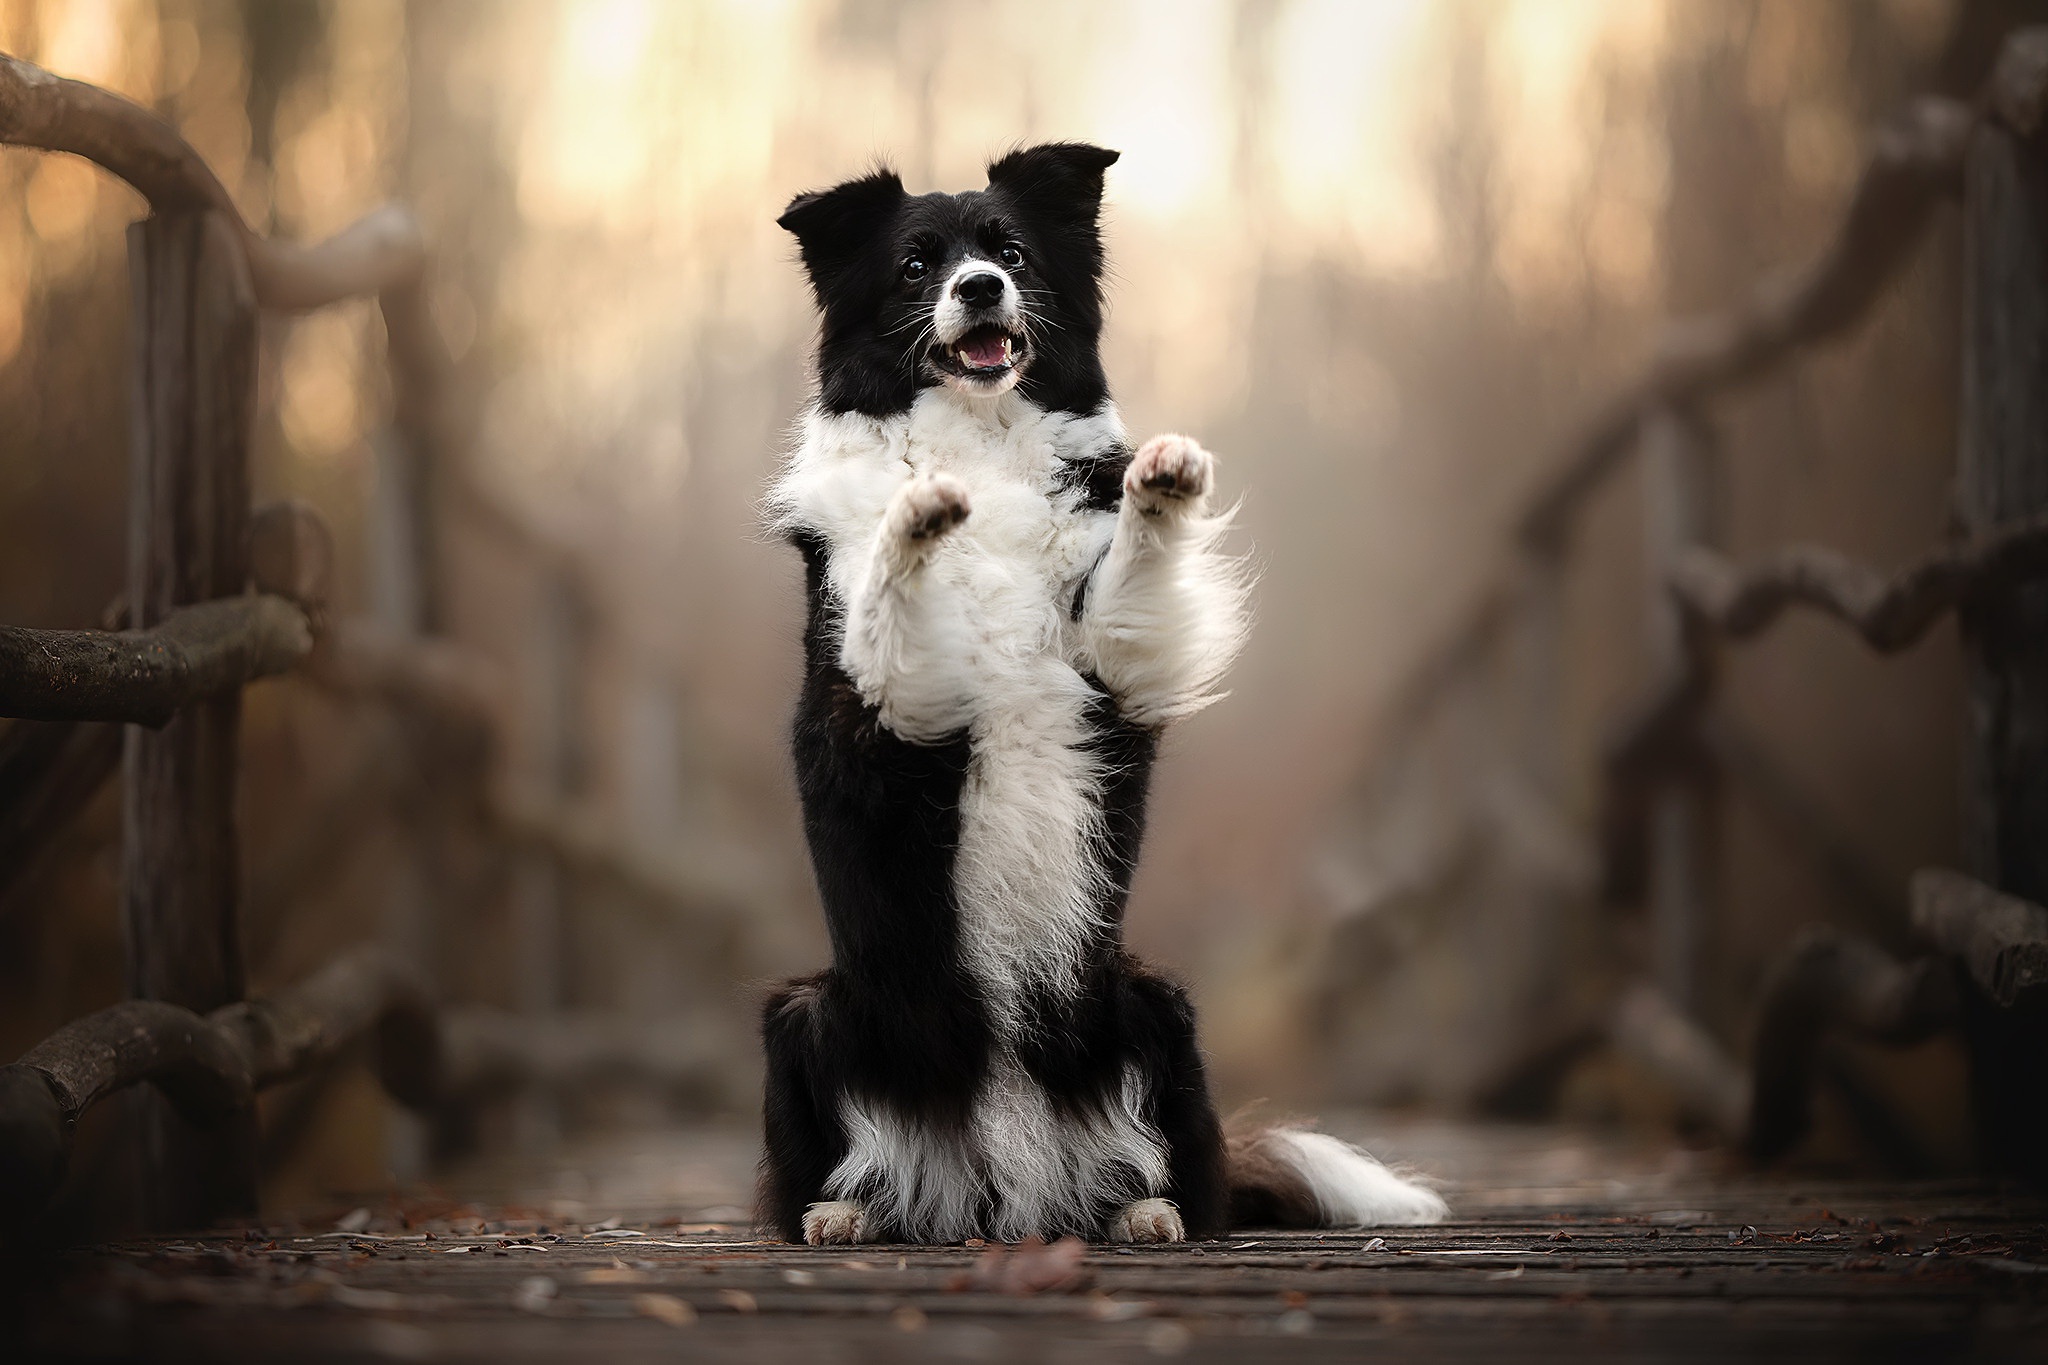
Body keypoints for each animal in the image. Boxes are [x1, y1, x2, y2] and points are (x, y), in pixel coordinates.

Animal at [753, 144, 1441, 1244]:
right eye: (915, 266)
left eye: (1011, 254)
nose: (979, 289)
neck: (982, 436)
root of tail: (997, 1190)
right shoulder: (890, 703)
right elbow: (891, 589)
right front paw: (918, 509)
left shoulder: (1110, 657)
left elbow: (1133, 575)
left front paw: (1161, 480)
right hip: (807, 1014)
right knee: (823, 1175)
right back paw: (844, 1212)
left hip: (1154, 1006)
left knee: (1187, 1180)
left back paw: (1141, 1210)